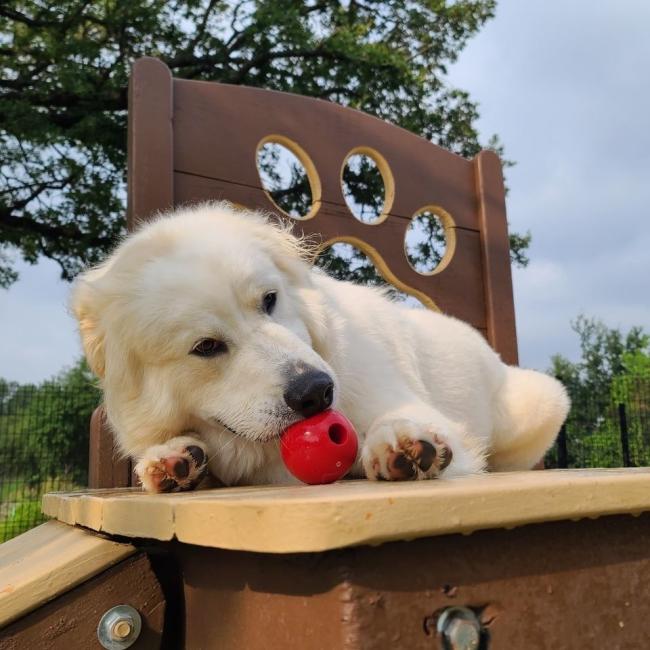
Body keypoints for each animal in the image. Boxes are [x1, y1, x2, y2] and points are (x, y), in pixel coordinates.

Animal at [71, 202, 568, 492]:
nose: (317, 390)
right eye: (207, 346)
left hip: (541, 402)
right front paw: (173, 459)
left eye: (269, 300)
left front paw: (402, 442)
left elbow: (409, 424)